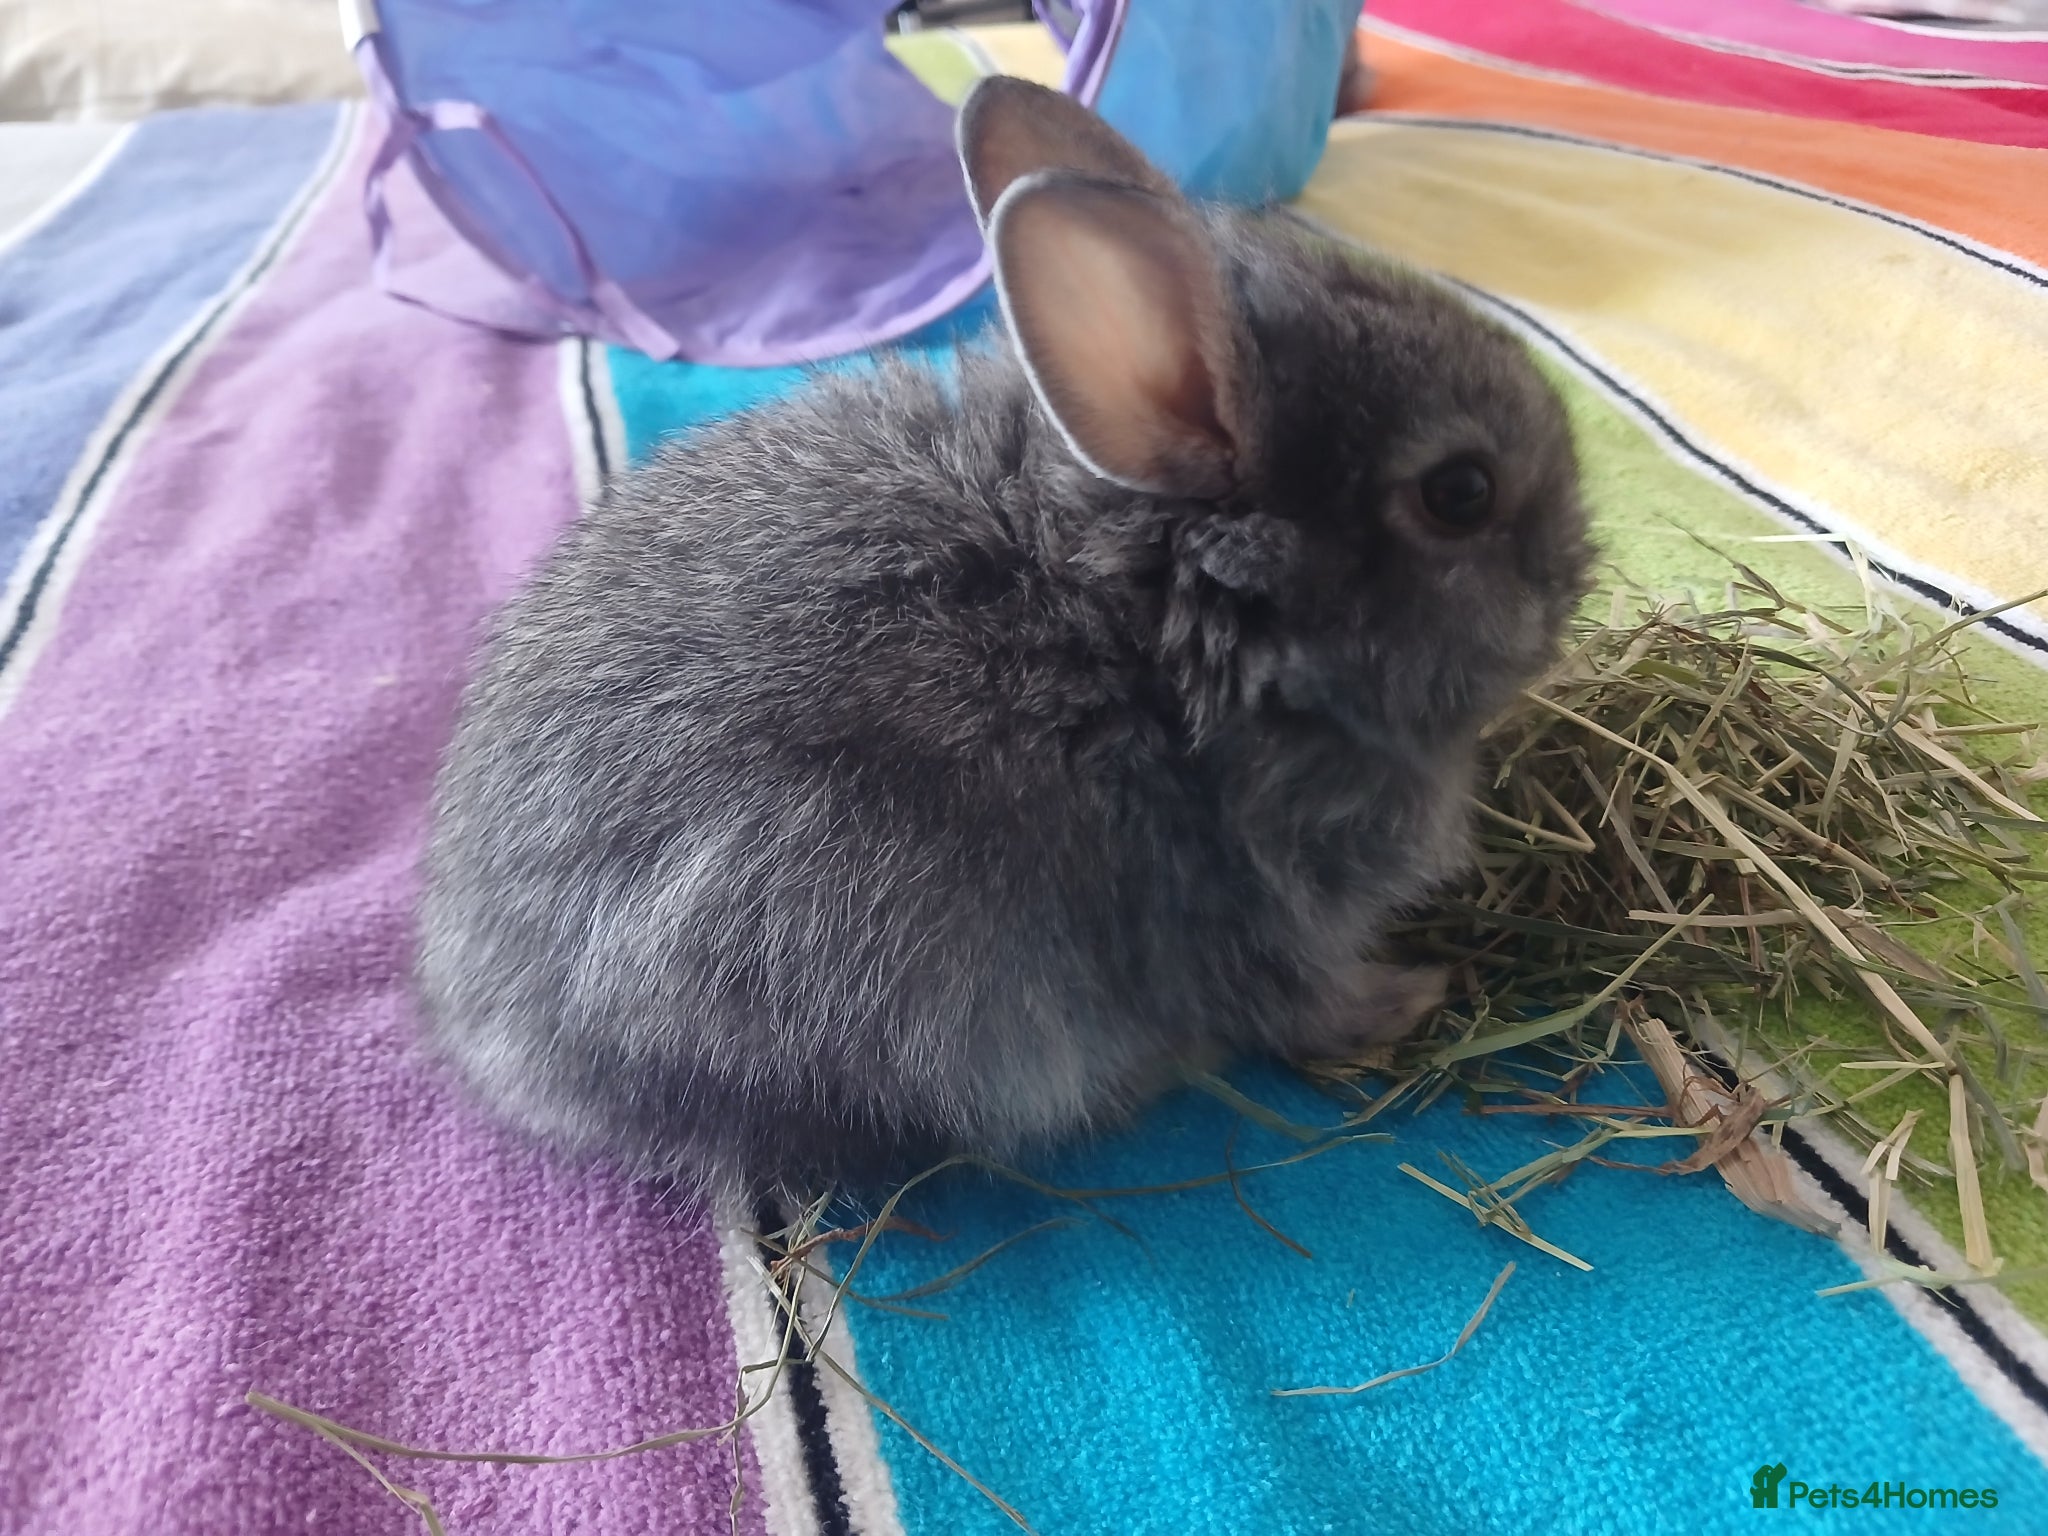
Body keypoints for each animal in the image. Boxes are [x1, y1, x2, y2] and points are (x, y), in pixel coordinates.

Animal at [415, 74, 1593, 1202]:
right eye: (1459, 492)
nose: (1577, 572)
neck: (1178, 619)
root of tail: (500, 1043)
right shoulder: (1263, 898)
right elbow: (1301, 1005)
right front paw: (1410, 995)